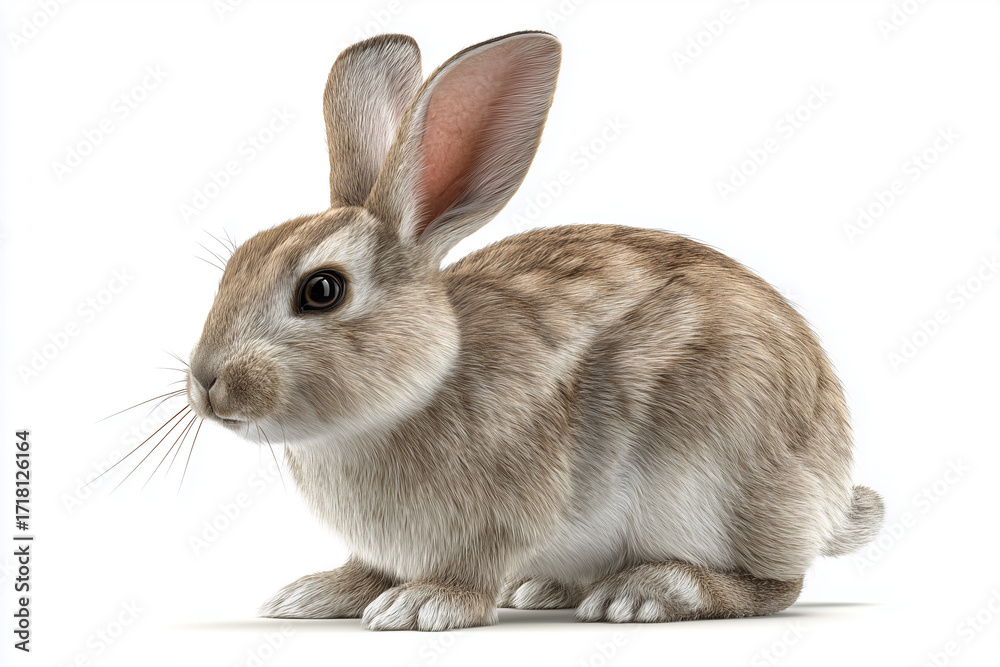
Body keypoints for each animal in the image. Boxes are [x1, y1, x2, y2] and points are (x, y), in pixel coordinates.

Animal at [185, 31, 885, 631]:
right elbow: (370, 568)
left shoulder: (503, 514)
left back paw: (649, 591)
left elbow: (473, 569)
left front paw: (422, 605)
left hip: (725, 474)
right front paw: (318, 594)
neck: (421, 386)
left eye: (322, 291)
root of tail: (829, 494)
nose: (205, 384)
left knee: (775, 584)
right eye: (235, 262)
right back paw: (548, 589)